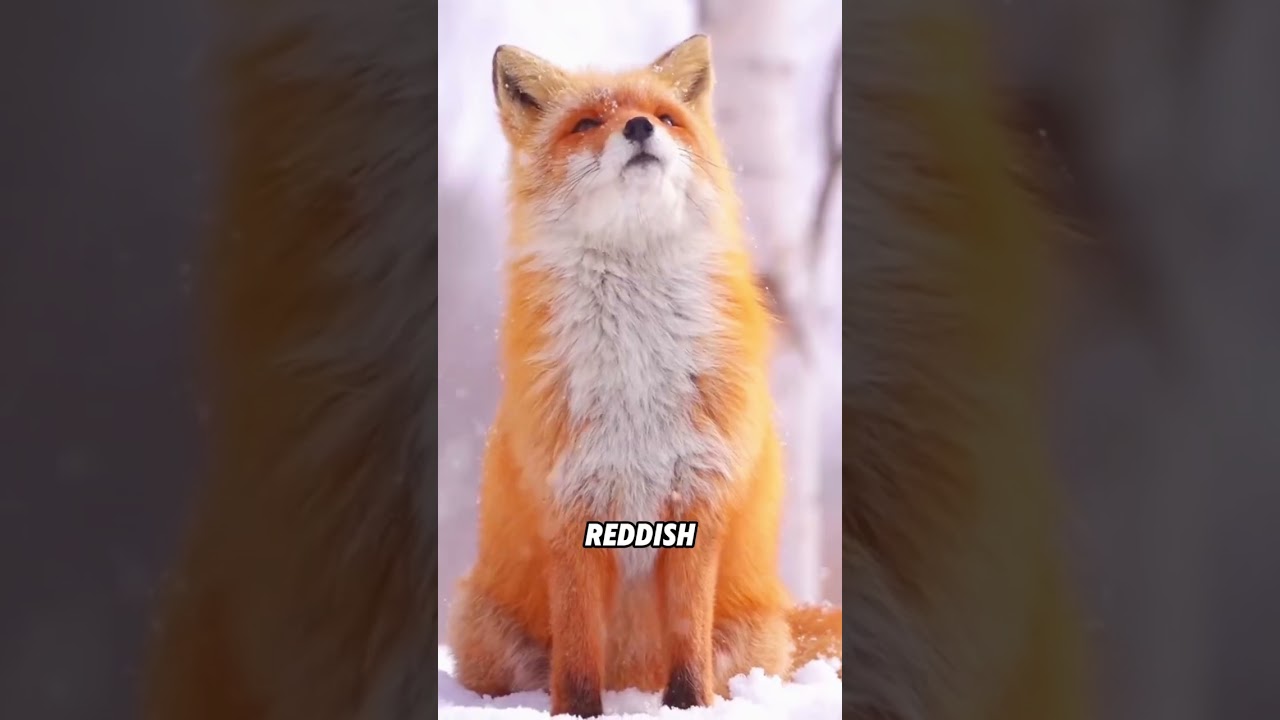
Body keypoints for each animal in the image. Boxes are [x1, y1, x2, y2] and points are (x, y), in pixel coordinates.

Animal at [443, 34, 841, 717]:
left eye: (665, 117)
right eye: (586, 123)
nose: (638, 128)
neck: (637, 373)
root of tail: (632, 679)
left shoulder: (698, 496)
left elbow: (688, 643)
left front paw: (688, 707)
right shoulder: (572, 502)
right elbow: (579, 654)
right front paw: (578, 713)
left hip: (754, 639)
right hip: (484, 629)